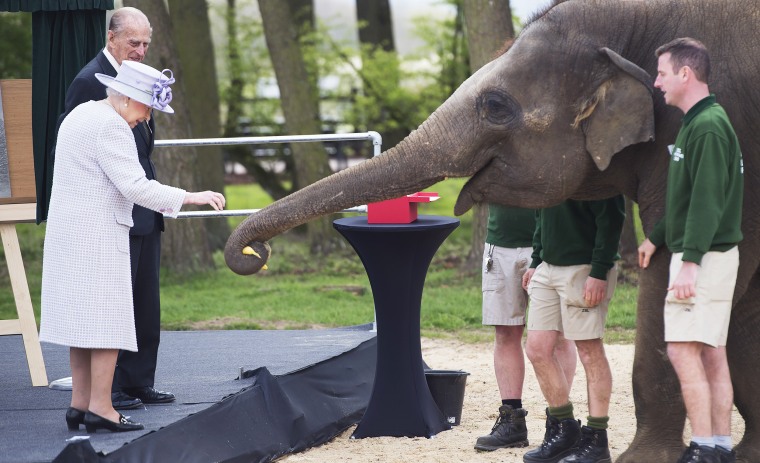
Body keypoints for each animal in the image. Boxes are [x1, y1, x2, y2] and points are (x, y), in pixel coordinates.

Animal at [224, 1, 760, 462]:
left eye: (496, 106)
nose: (254, 253)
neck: (632, 22)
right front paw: (746, 453)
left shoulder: (726, 139)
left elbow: (676, 265)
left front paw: (642, 460)